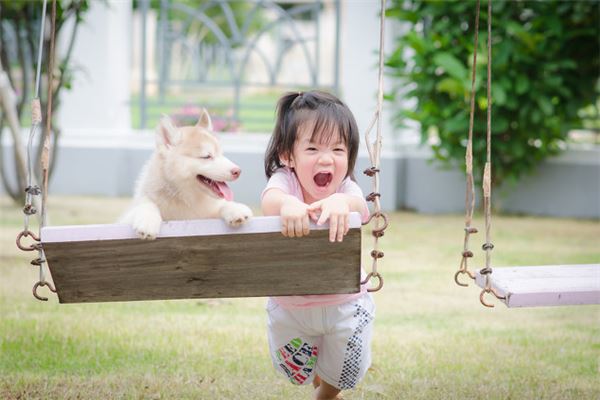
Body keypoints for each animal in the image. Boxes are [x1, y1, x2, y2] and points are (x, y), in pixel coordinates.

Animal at [122, 109, 253, 239]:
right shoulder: (127, 216)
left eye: (222, 154)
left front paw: (234, 208)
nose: (238, 171)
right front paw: (148, 220)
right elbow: (146, 204)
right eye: (207, 156)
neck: (187, 198)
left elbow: (222, 205)